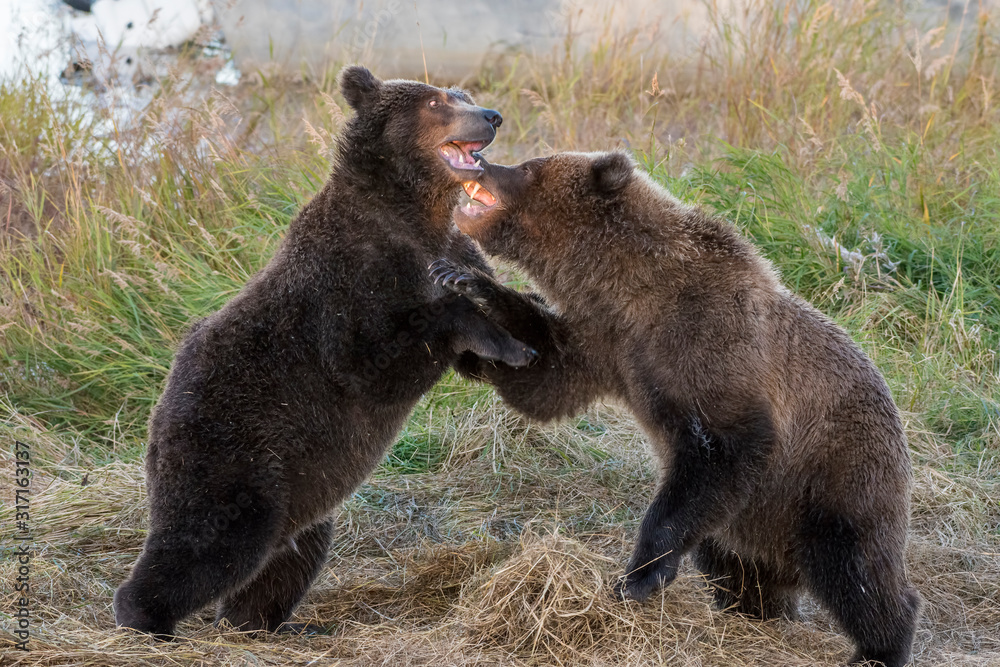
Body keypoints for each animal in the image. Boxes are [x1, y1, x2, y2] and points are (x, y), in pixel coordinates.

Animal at [112, 65, 540, 638]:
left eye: (462, 94)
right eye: (435, 101)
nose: (491, 116)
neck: (415, 212)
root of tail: (159, 411)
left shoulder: (450, 246)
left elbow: (472, 332)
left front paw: (519, 328)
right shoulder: (348, 285)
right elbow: (377, 360)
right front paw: (503, 339)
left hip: (301, 492)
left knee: (288, 557)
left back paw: (264, 623)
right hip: (231, 452)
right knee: (209, 542)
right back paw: (145, 618)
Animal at [430, 151, 920, 667]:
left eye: (527, 167)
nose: (481, 161)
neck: (628, 288)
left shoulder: (711, 344)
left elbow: (720, 451)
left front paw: (638, 577)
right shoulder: (607, 343)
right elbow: (547, 380)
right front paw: (469, 294)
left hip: (834, 475)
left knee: (854, 569)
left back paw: (879, 646)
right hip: (753, 522)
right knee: (738, 566)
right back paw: (752, 608)